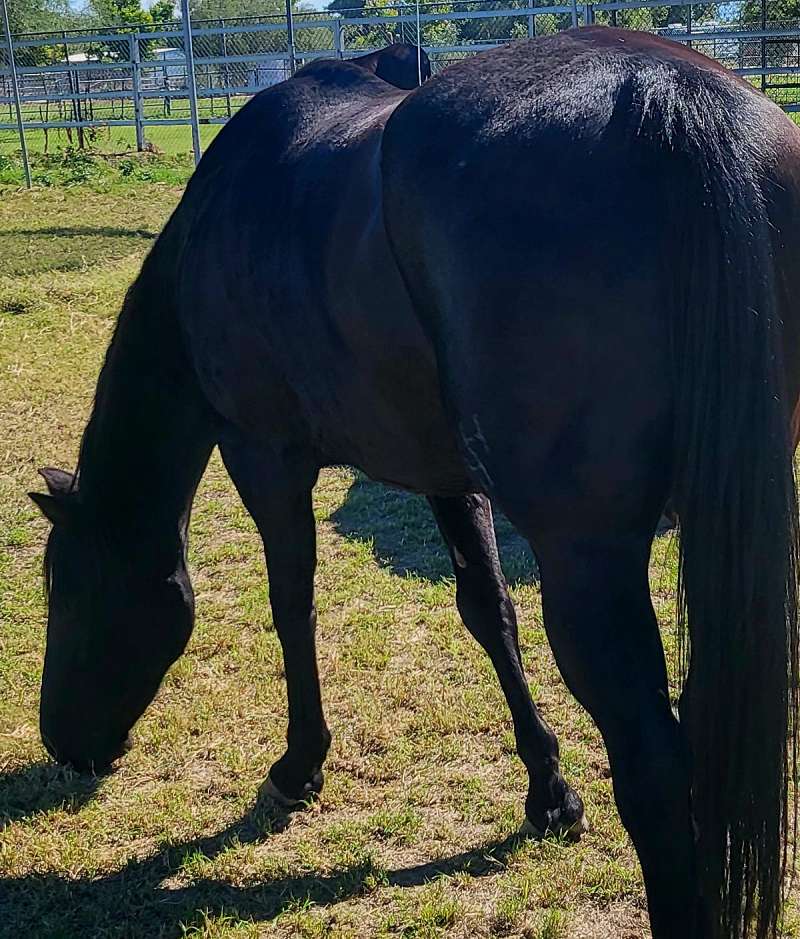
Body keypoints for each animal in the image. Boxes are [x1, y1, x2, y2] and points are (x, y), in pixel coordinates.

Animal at [29, 28, 800, 939]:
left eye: (69, 588)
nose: (61, 744)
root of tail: (668, 98)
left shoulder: (264, 456)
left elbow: (292, 602)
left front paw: (298, 763)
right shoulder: (446, 473)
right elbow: (487, 613)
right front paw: (549, 791)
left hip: (590, 560)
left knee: (651, 757)